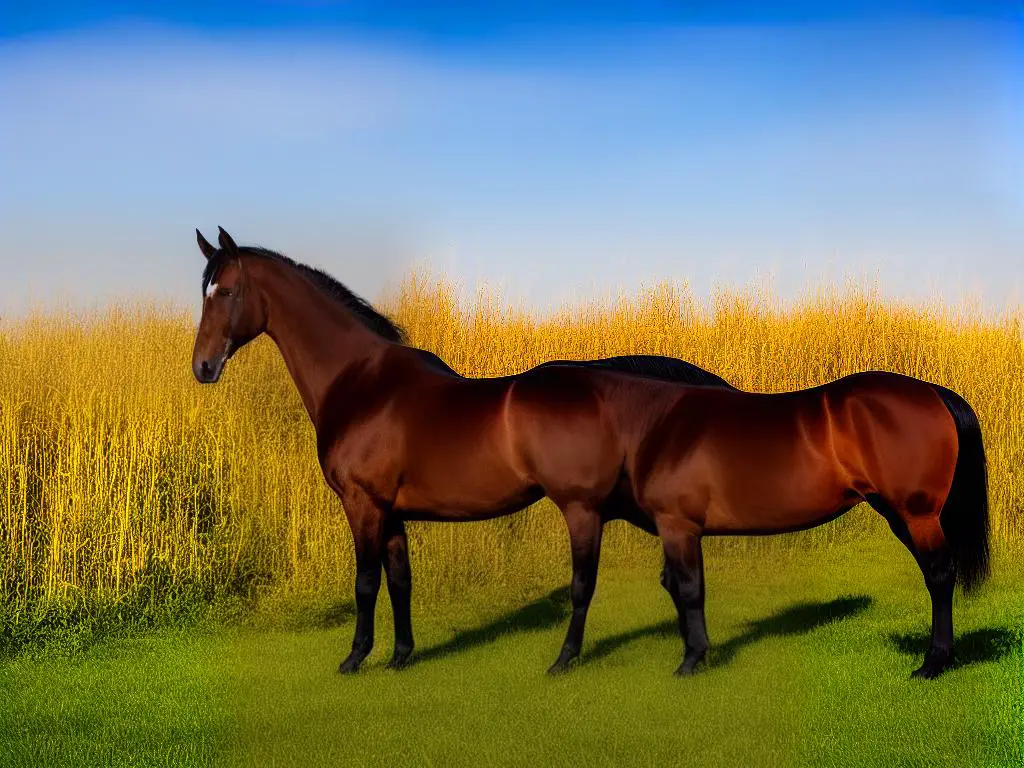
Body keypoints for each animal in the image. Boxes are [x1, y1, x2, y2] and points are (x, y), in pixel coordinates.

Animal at [193, 227, 991, 679]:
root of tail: (933, 392)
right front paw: (400, 656)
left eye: (224, 290)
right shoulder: (390, 512)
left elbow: (365, 587)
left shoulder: (363, 506)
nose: (202, 367)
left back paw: (933, 664)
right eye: (203, 288)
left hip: (909, 511)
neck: (364, 383)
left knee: (941, 574)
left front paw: (356, 658)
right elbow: (399, 582)